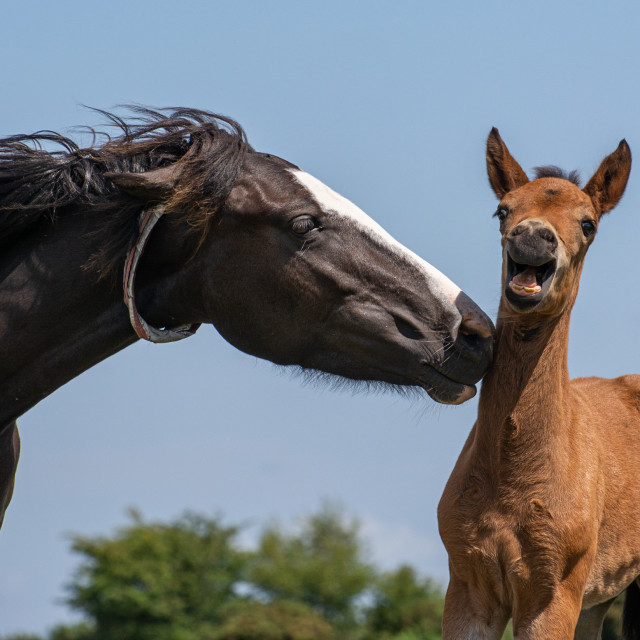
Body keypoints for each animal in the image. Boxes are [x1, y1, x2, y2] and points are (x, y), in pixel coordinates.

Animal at [438, 131, 640, 640]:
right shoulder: (469, 589)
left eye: (588, 224)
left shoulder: (551, 596)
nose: (532, 237)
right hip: (596, 598)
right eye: (503, 210)